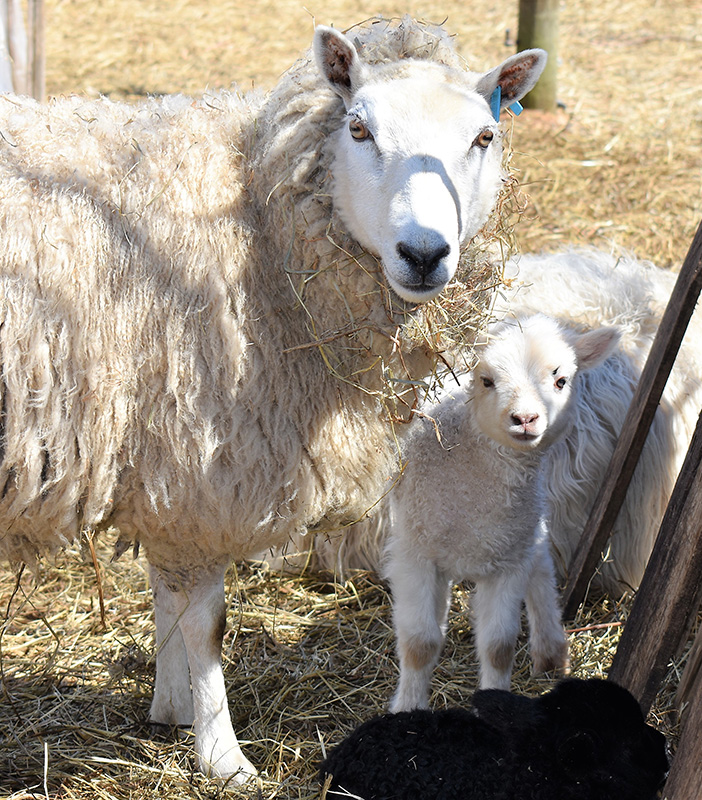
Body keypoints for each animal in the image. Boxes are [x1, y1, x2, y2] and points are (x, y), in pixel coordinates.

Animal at [0, 18, 547, 781]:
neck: (256, 211)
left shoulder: (167, 466)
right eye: (358, 128)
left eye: (483, 136)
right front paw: (223, 756)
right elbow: (208, 624)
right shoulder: (200, 453)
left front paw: (171, 708)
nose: (424, 254)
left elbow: (168, 597)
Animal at [385, 314, 620, 712]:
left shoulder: (508, 561)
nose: (525, 418)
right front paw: (409, 708)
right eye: (486, 380)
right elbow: (420, 644)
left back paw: (550, 649)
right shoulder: (415, 555)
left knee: (541, 563)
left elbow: (499, 647)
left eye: (561, 380)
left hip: (526, 527)